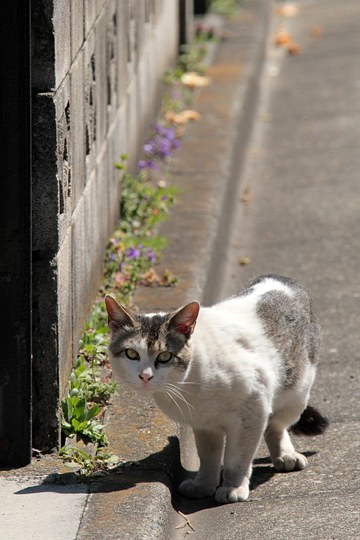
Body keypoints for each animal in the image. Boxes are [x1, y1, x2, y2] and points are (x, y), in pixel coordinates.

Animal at [105, 276, 330, 504]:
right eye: (132, 354)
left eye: (165, 356)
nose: (145, 376)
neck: (189, 385)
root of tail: (282, 279)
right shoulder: (204, 424)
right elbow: (208, 457)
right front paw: (203, 485)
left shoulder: (252, 412)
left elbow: (237, 460)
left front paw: (233, 488)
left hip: (296, 394)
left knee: (276, 425)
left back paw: (285, 456)